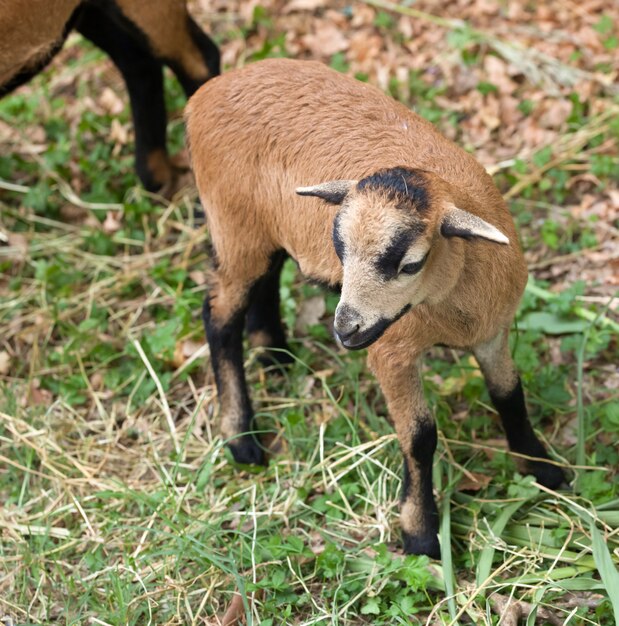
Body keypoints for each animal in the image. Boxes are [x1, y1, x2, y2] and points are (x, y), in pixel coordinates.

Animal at [185, 58, 568, 556]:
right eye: (340, 250)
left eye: (410, 264)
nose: (345, 329)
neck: (453, 307)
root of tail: (209, 91)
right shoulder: (392, 353)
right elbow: (420, 435)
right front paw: (421, 533)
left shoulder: (491, 333)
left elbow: (509, 394)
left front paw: (543, 469)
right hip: (234, 226)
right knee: (218, 317)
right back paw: (241, 439)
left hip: (266, 228)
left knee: (267, 279)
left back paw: (275, 355)